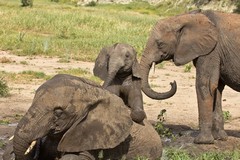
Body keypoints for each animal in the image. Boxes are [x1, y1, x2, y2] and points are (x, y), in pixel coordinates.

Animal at [140, 9, 240, 144]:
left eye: (160, 44)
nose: (172, 82)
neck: (187, 17)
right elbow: (216, 88)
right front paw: (220, 138)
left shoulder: (212, 50)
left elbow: (205, 84)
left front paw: (202, 141)